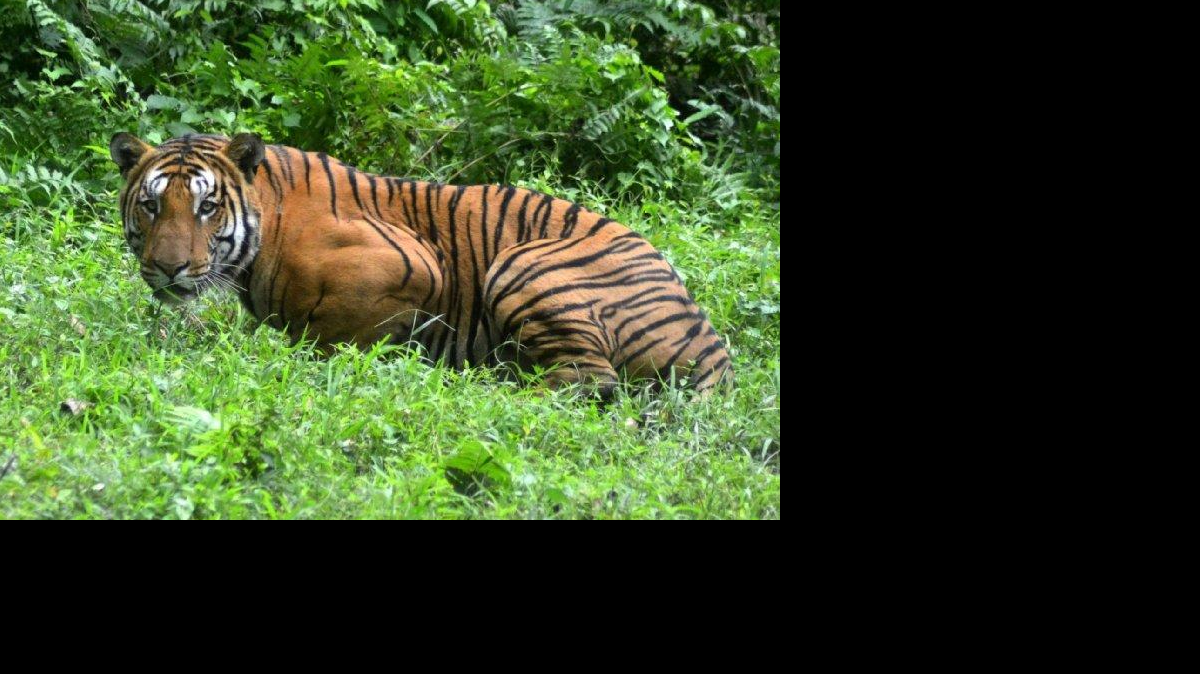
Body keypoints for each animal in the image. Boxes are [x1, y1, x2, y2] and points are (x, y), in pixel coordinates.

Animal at [108, 132, 733, 396]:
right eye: (152, 204)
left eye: (207, 207)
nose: (168, 268)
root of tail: (712, 345)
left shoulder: (415, 264)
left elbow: (333, 334)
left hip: (523, 263)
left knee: (588, 382)